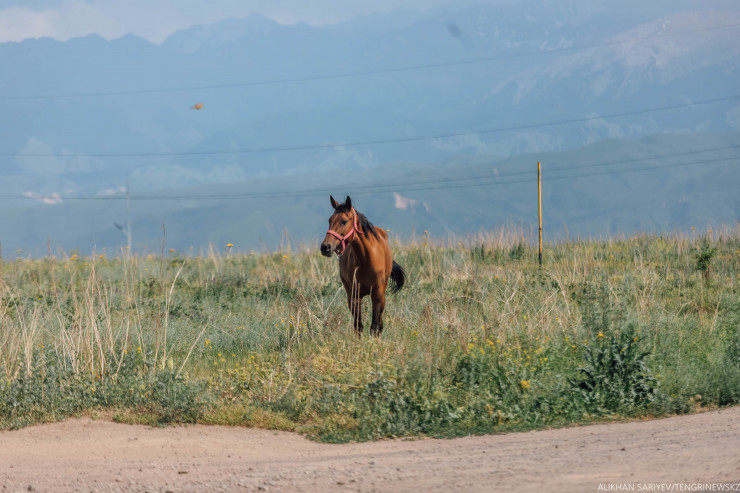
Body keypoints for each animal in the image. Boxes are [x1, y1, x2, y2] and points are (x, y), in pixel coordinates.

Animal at [320, 195, 405, 336]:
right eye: (329, 220)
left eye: (344, 221)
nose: (325, 247)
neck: (366, 260)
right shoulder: (355, 296)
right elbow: (358, 326)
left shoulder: (377, 294)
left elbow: (375, 326)